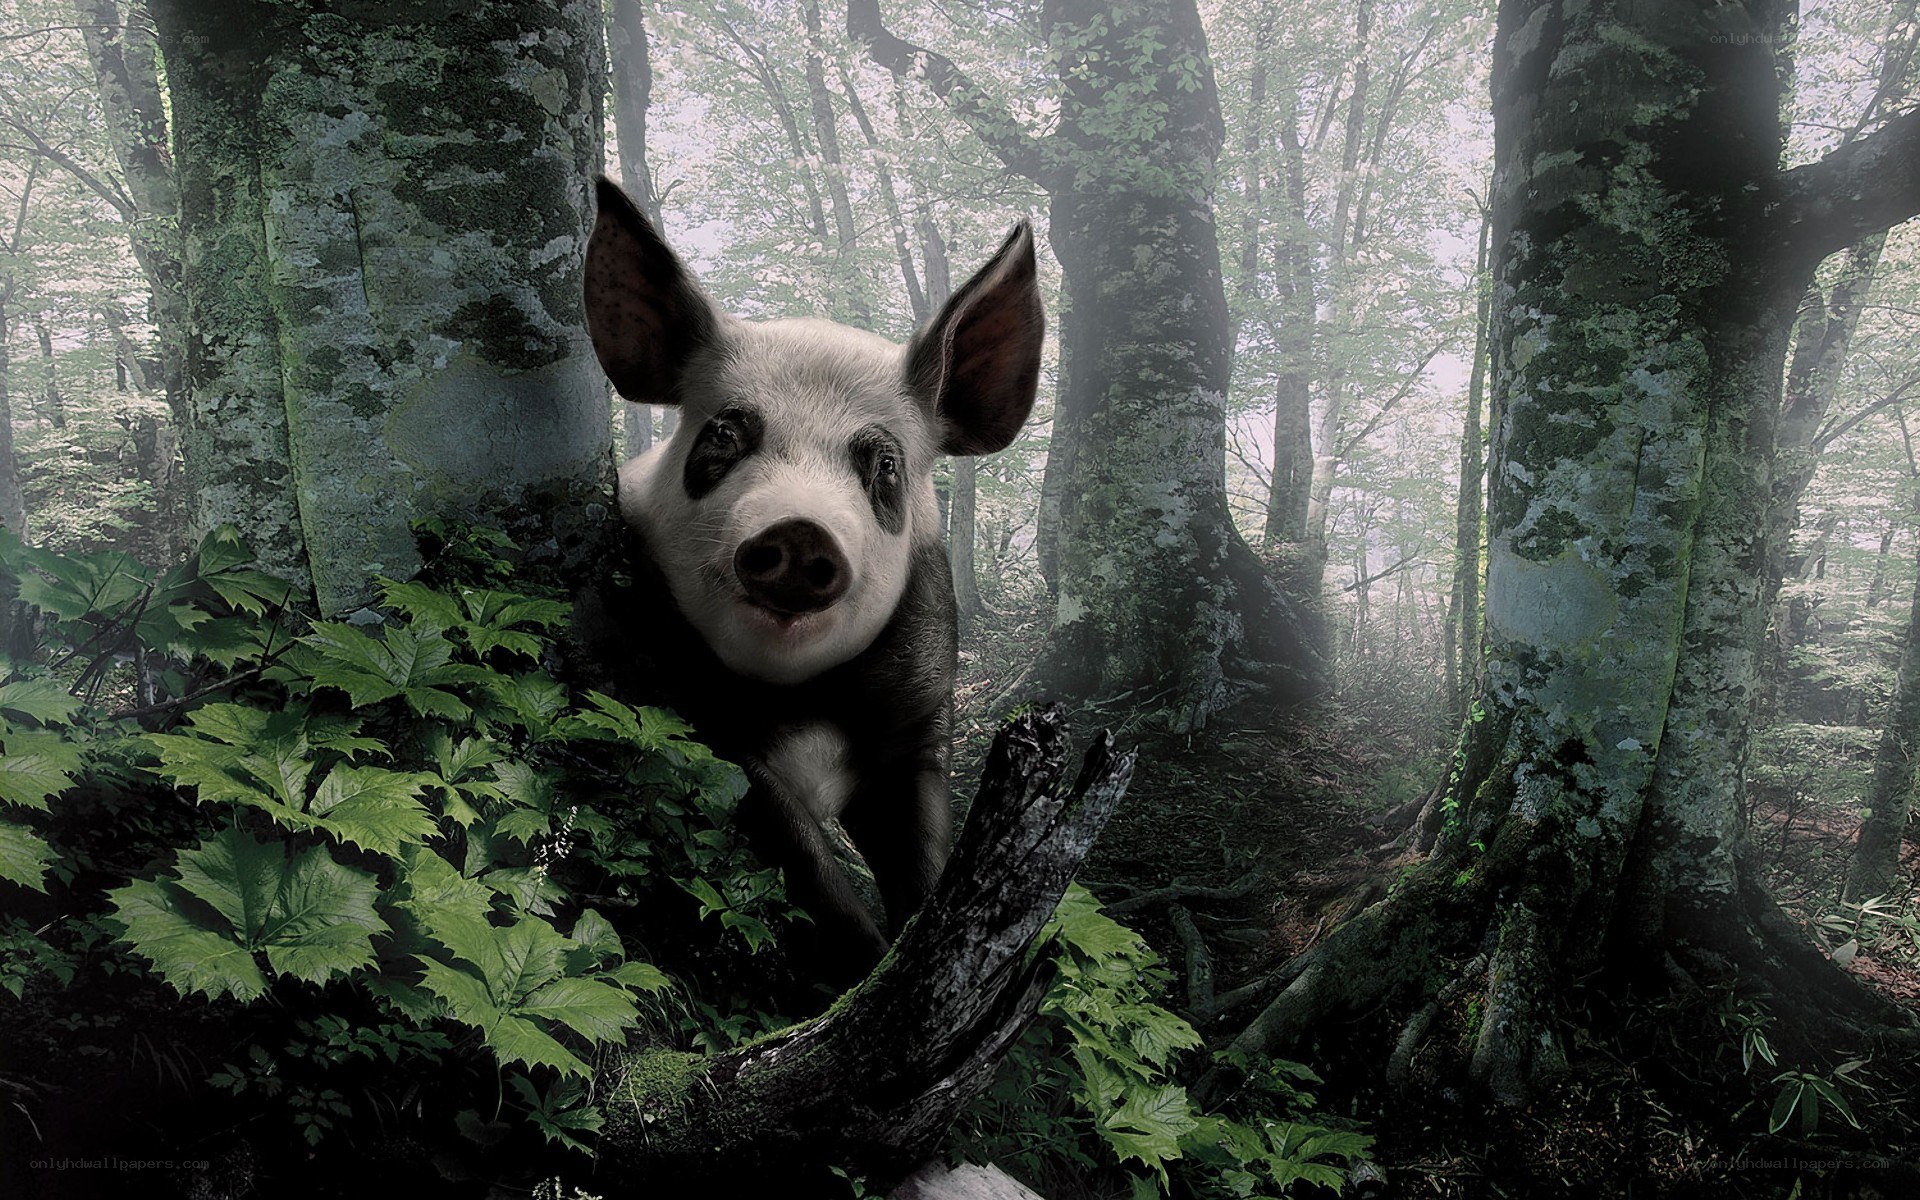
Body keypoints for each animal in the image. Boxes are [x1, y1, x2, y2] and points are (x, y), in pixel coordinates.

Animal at [577, 177, 1043, 979]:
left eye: (883, 464)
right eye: (724, 435)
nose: (799, 531)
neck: (804, 699)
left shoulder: (921, 716)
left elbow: (922, 850)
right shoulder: (689, 708)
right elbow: (802, 859)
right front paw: (867, 965)